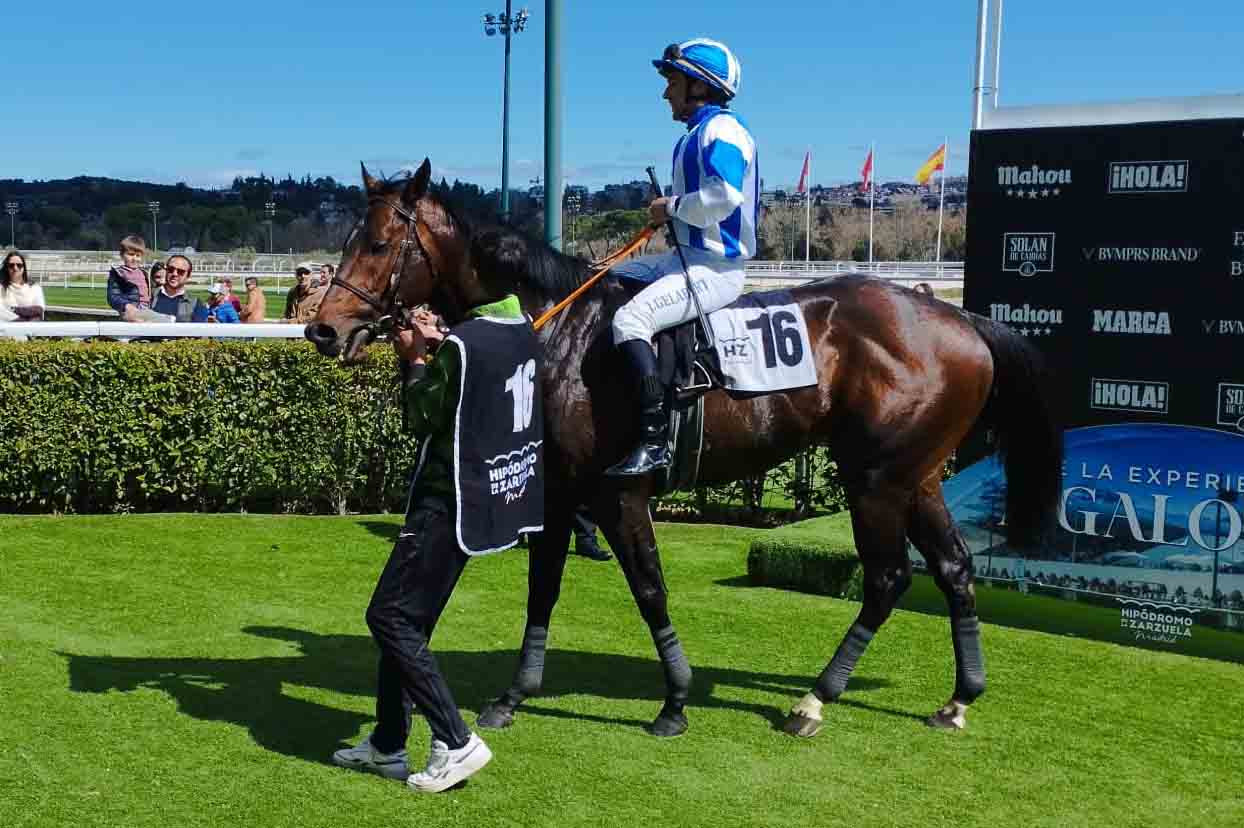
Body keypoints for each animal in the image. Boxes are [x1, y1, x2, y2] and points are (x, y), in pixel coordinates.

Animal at [306, 159, 1062, 739]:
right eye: (349, 238)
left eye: (379, 244)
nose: (322, 329)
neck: (560, 332)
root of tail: (958, 317)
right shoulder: (558, 493)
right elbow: (542, 591)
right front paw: (513, 696)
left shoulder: (618, 494)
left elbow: (649, 590)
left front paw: (673, 701)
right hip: (918, 476)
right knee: (954, 570)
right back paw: (958, 699)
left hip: (874, 480)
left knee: (887, 579)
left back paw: (814, 700)